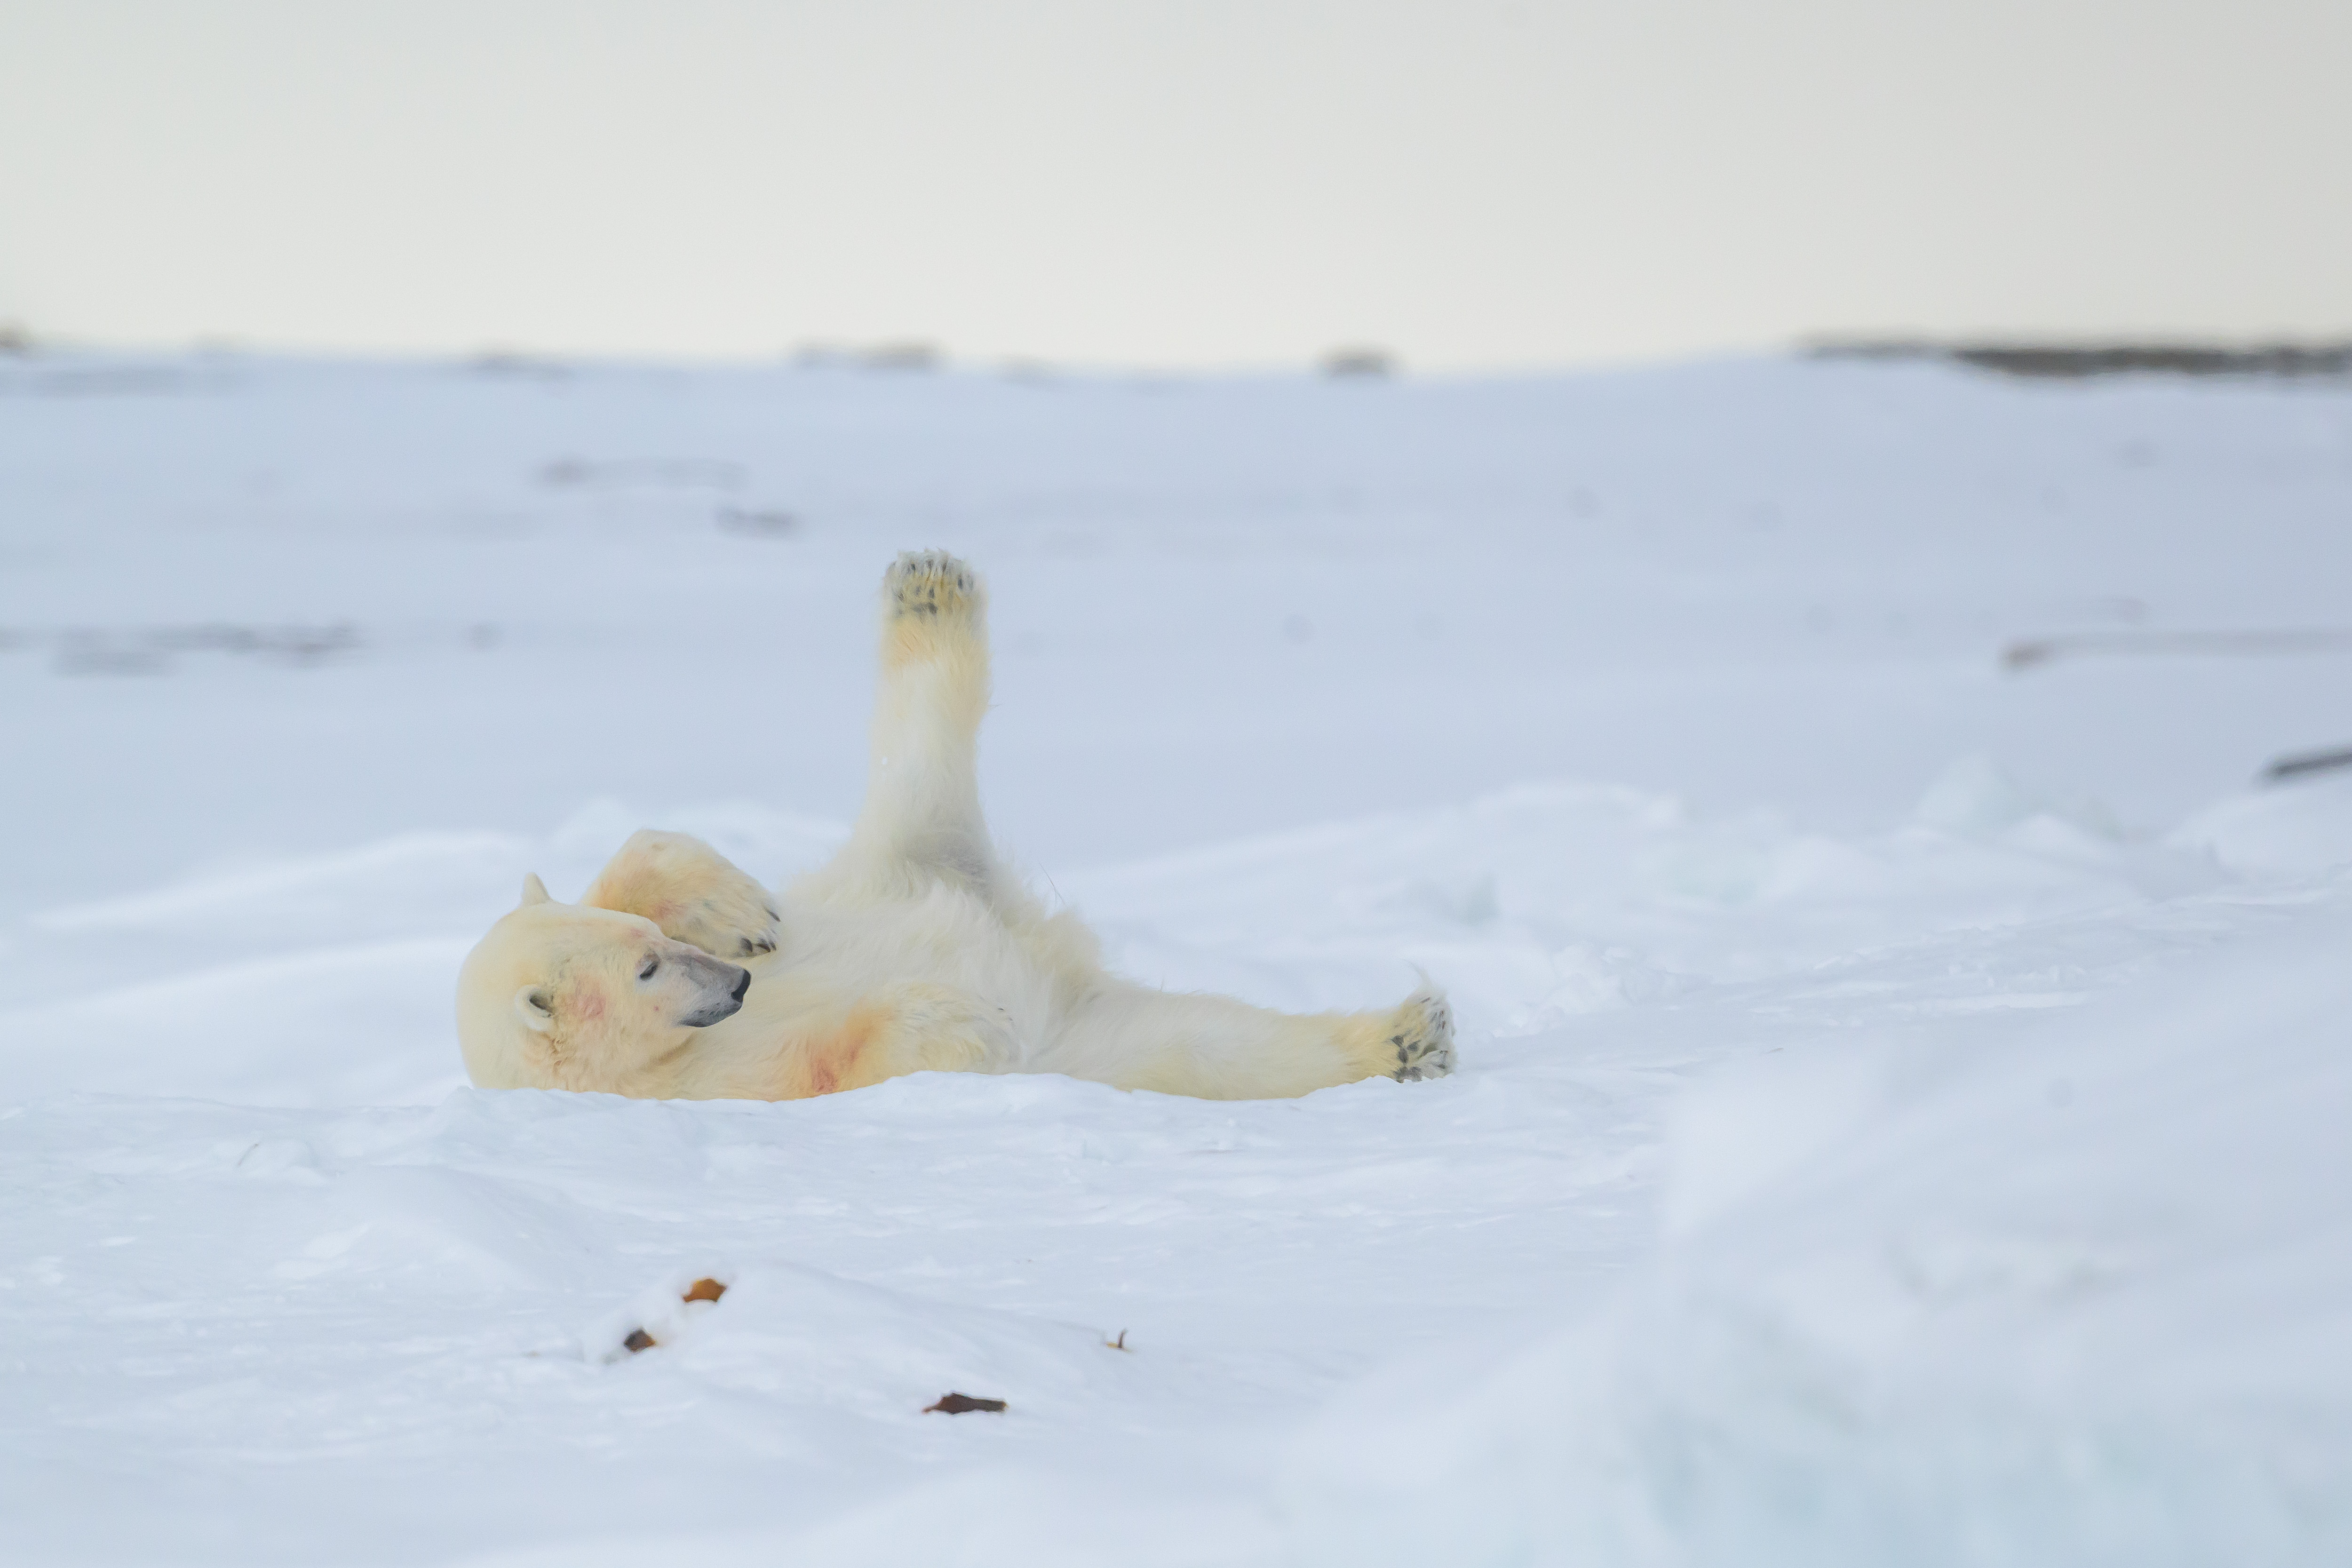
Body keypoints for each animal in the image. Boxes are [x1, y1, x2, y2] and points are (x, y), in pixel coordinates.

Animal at [456, 552, 1449, 1105]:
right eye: (647, 972)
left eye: (648, 944)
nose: (738, 978)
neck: (643, 1067)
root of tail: (1033, 948)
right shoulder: (711, 1086)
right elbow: (838, 1061)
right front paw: (964, 1016)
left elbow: (626, 858)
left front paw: (739, 908)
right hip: (1082, 1035)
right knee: (1215, 1048)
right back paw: (1408, 1037)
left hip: (907, 856)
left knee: (920, 754)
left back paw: (931, 588)